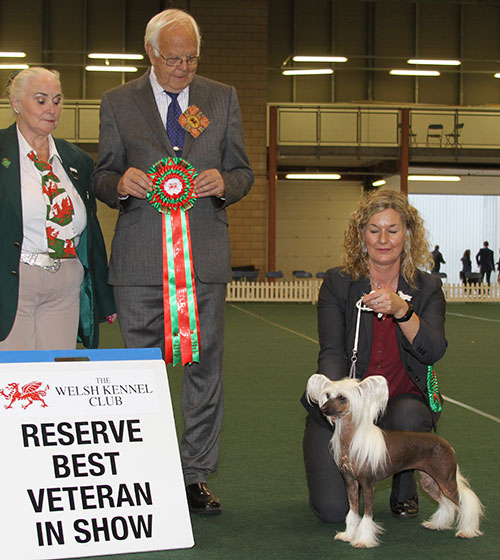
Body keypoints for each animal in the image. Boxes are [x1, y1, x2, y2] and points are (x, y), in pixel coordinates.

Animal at [304, 374, 484, 548]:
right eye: (327, 395)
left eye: (342, 397)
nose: (323, 409)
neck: (352, 440)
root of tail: (447, 444)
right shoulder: (351, 482)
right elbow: (352, 512)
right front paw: (348, 535)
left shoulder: (368, 484)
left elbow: (367, 515)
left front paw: (363, 540)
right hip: (429, 481)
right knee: (446, 503)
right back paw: (437, 524)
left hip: (446, 479)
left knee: (465, 501)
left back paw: (467, 531)